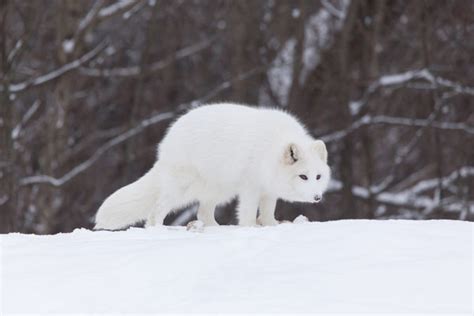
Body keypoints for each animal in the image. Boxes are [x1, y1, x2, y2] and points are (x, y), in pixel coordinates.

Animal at [92, 103, 330, 230]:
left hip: (219, 191)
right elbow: (247, 212)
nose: (317, 198)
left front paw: (271, 225)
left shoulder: (269, 190)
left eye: (318, 177)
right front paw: (250, 228)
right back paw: (158, 229)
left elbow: (268, 212)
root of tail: (167, 142)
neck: (270, 150)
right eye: (303, 176)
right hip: (180, 189)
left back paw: (216, 229)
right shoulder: (250, 187)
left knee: (202, 213)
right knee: (156, 211)